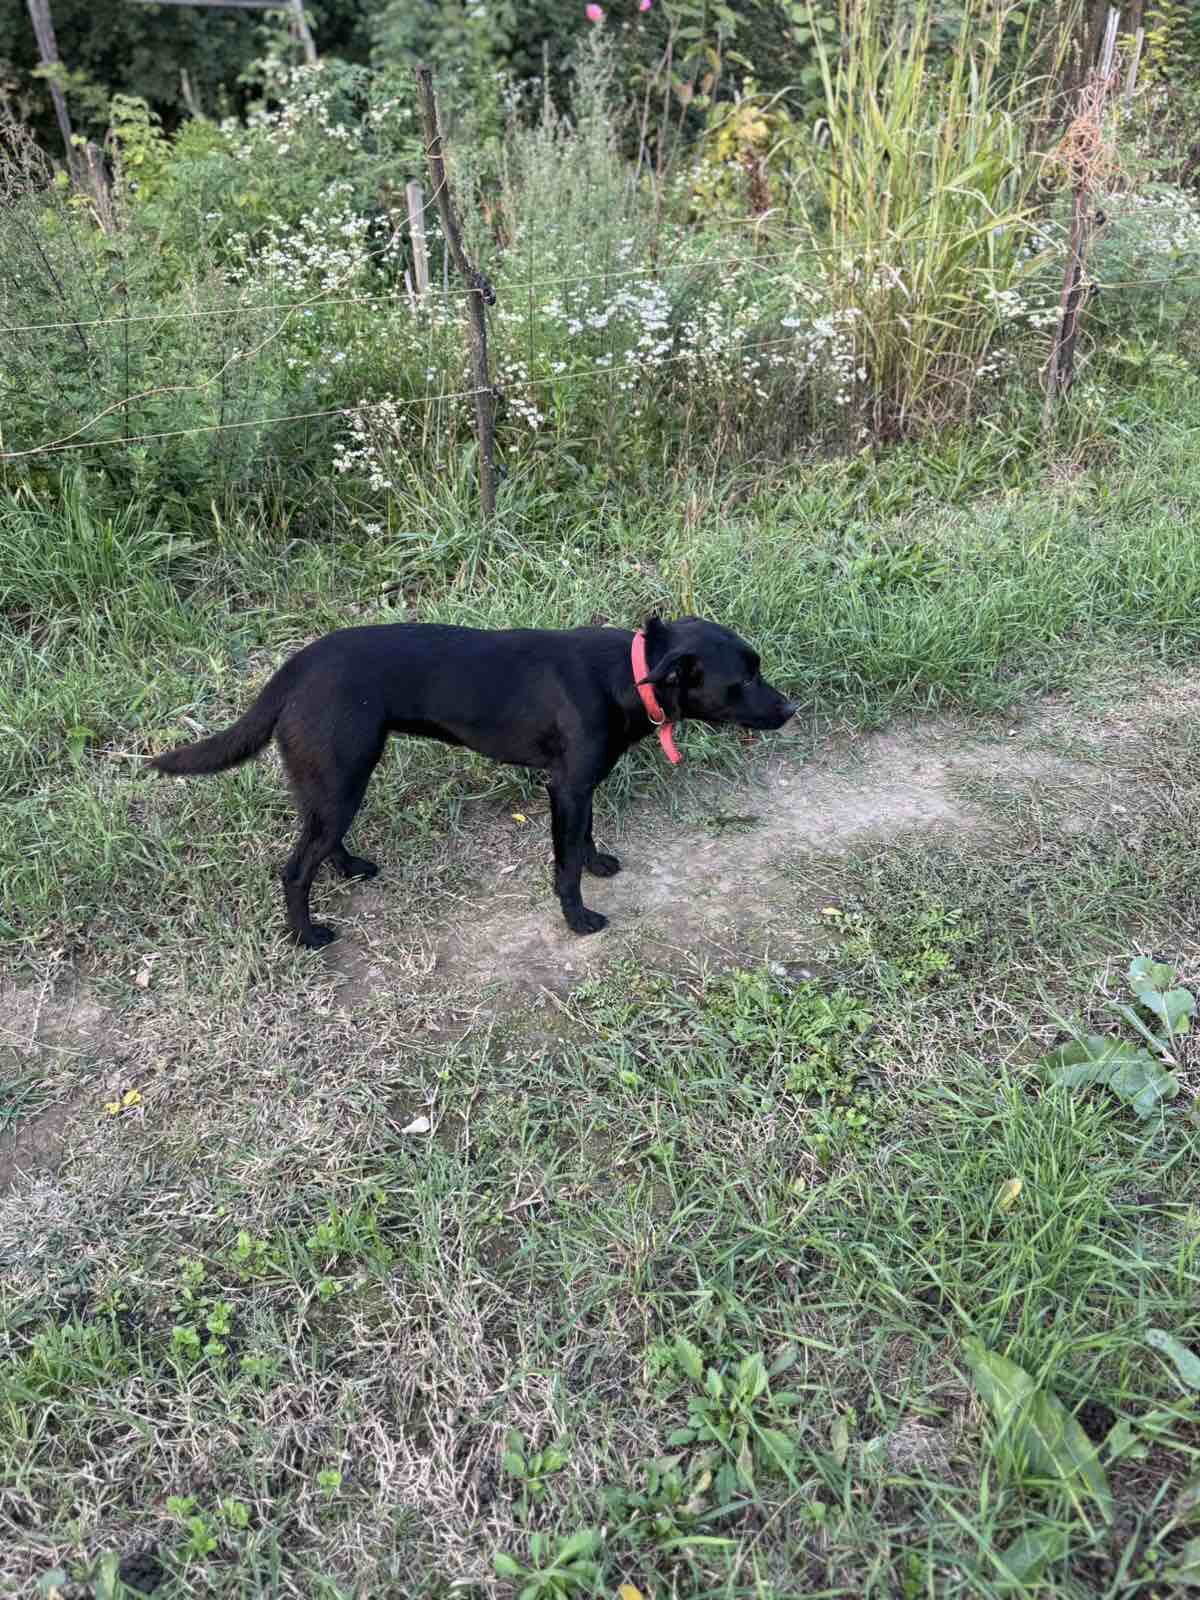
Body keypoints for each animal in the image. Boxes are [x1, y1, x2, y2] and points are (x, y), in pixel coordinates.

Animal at [151, 615, 797, 948]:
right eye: (745, 679)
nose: (791, 709)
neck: (628, 674)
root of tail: (294, 668)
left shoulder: (580, 787)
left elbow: (585, 838)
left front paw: (596, 864)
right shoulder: (566, 787)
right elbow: (563, 865)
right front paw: (577, 918)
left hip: (337, 781)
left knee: (320, 844)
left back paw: (350, 867)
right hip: (342, 776)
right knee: (294, 869)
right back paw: (307, 934)